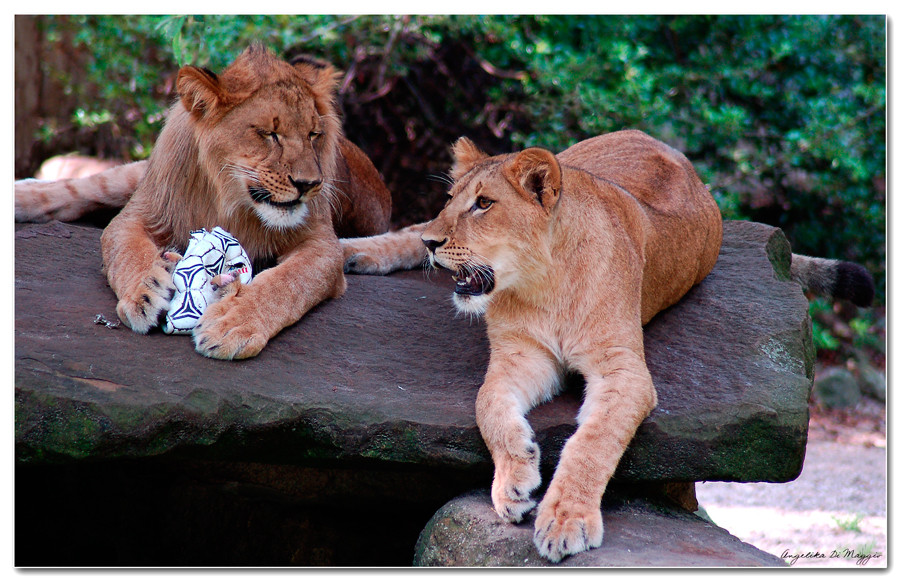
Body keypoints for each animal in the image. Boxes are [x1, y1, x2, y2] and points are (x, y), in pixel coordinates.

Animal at [14, 45, 392, 360]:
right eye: (269, 134)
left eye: (314, 135)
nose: (309, 184)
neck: (231, 198)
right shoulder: (139, 214)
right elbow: (126, 252)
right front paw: (145, 293)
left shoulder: (324, 245)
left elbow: (287, 283)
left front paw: (234, 322)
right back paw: (21, 196)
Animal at [342, 129, 876, 560]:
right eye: (452, 199)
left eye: (484, 204)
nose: (435, 244)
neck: (543, 282)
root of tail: (658, 142)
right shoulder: (520, 355)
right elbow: (487, 404)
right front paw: (514, 481)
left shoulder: (624, 369)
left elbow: (592, 443)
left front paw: (565, 521)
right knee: (408, 228)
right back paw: (354, 253)